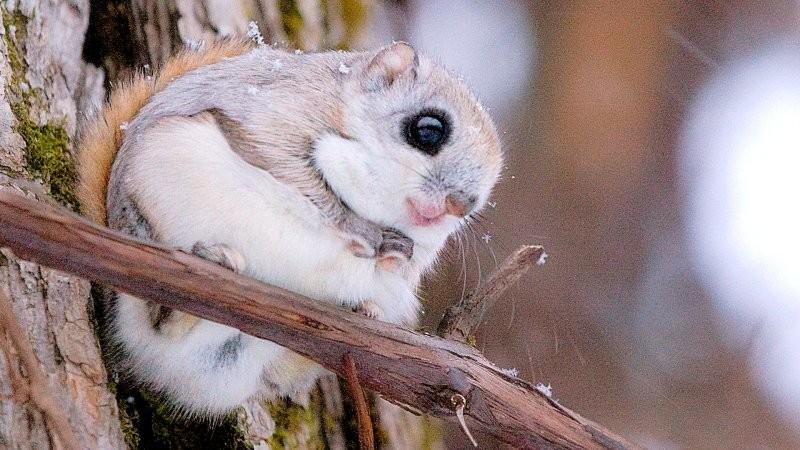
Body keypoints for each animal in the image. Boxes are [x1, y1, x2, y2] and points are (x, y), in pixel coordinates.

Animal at [75, 37, 500, 416]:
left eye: (483, 195)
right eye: (428, 129)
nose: (461, 205)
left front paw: (396, 255)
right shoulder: (278, 118)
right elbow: (298, 175)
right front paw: (362, 230)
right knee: (159, 320)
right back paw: (208, 265)